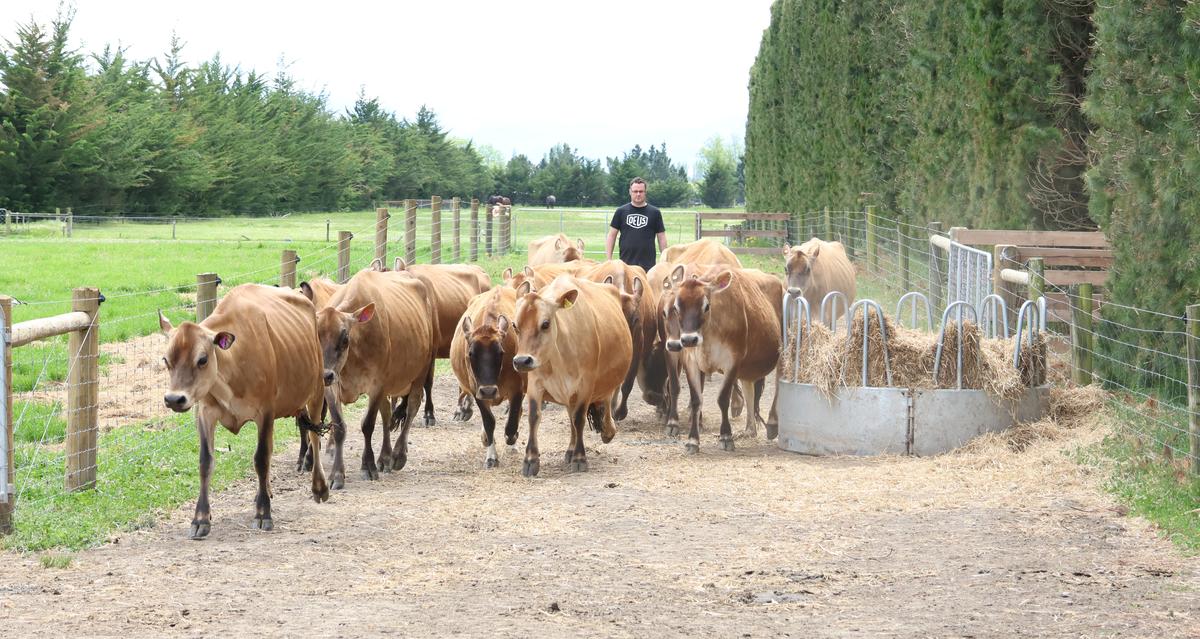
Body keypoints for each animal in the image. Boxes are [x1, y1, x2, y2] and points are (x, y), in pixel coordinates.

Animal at [159, 284, 331, 538]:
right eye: (166, 359)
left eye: (202, 359)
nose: (174, 399)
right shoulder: (205, 412)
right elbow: (205, 462)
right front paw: (201, 518)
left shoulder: (265, 412)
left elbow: (261, 459)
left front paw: (263, 513)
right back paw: (265, 491)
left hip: (317, 389)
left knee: (313, 435)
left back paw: (319, 487)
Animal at [314, 266, 436, 487]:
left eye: (345, 339)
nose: (325, 374)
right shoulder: (332, 386)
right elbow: (339, 427)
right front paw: (337, 474)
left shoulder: (377, 384)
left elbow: (368, 424)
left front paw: (368, 466)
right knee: (387, 413)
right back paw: (385, 457)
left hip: (422, 368)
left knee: (413, 406)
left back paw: (397, 455)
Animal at [451, 287, 525, 466]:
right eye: (471, 354)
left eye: (501, 353)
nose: (489, 391)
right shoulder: (477, 390)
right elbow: (489, 422)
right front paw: (491, 456)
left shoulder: (518, 389)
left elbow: (512, 423)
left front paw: (511, 438)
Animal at [511, 275, 633, 473]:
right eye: (515, 325)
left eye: (545, 324)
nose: (522, 361)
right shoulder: (535, 383)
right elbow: (534, 417)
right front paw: (531, 460)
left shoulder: (586, 385)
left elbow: (579, 418)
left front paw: (580, 457)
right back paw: (570, 448)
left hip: (608, 380)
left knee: (606, 401)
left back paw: (607, 431)